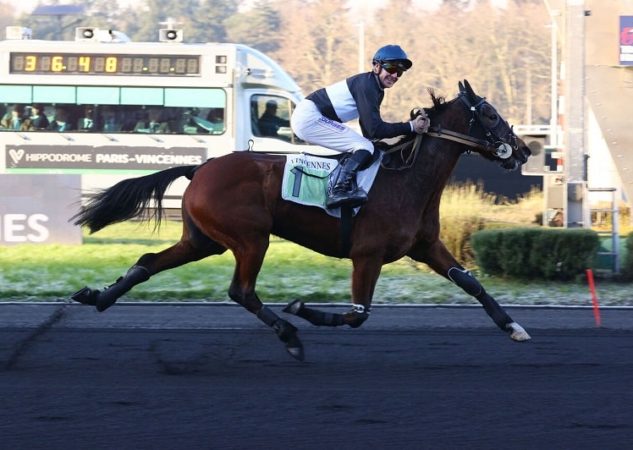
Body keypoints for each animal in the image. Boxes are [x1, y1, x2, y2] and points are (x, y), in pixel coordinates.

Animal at [71, 80, 532, 362]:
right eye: (490, 114)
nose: (524, 150)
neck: (406, 179)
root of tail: (200, 168)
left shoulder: (425, 246)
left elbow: (471, 282)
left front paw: (513, 327)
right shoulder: (368, 255)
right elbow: (357, 314)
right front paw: (302, 309)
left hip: (204, 239)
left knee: (149, 261)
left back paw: (98, 297)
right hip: (250, 239)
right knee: (241, 291)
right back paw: (290, 334)